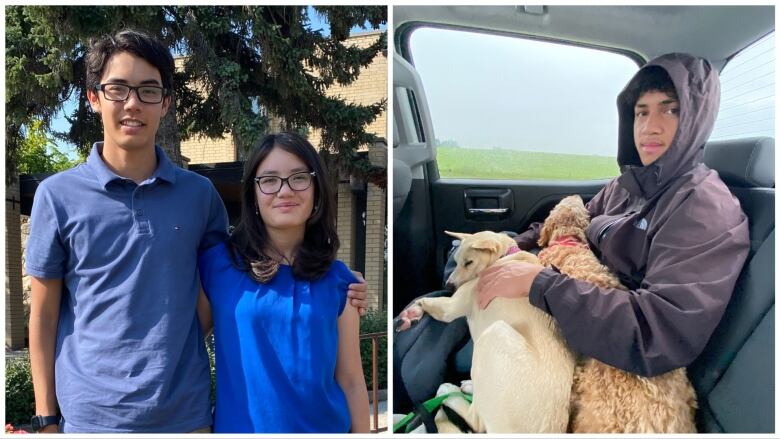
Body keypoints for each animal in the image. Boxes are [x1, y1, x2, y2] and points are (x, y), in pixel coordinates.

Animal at [402, 232, 572, 434]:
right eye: (456, 261)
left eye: (469, 262)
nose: (449, 286)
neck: (503, 257)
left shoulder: (449, 308)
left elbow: (426, 302)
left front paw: (413, 311)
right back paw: (468, 386)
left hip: (493, 333)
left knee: (476, 419)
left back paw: (448, 390)